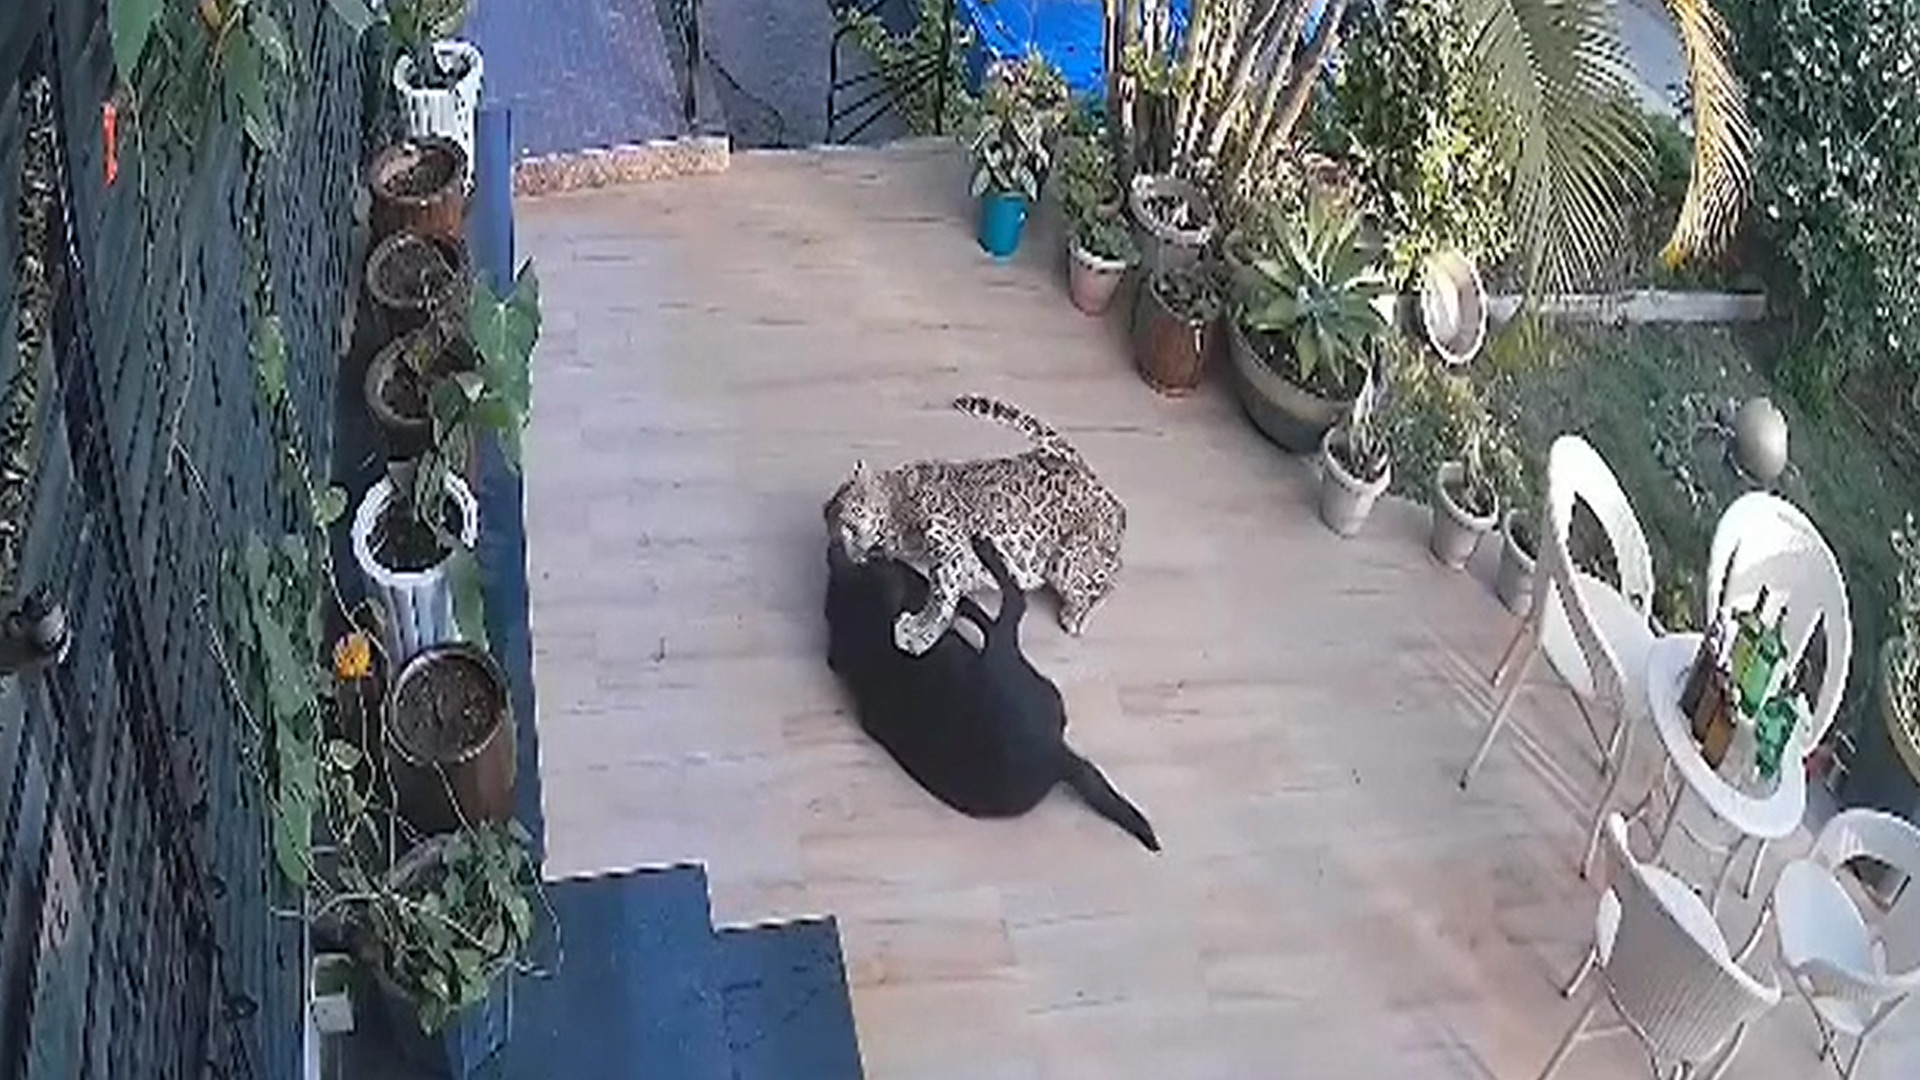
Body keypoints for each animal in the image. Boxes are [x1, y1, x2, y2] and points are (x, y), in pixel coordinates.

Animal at [823, 395, 1127, 656]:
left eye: (851, 516)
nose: (847, 548)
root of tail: (1082, 469)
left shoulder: (948, 542)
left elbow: (940, 596)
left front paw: (919, 633)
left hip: (1068, 557)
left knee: (1110, 578)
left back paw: (1076, 615)